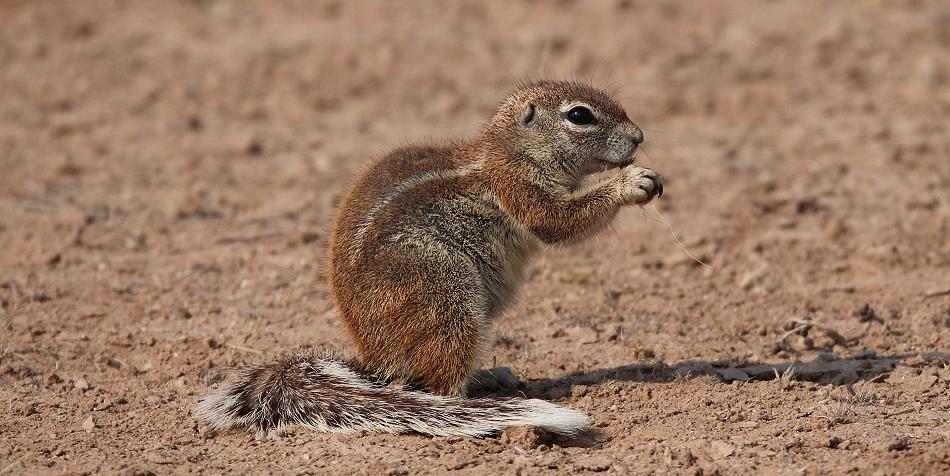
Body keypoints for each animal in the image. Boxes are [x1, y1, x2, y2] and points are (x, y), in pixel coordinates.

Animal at [197, 80, 664, 436]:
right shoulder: (517, 185)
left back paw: (490, 375)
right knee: (435, 383)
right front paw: (631, 183)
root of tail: (375, 362)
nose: (640, 136)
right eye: (580, 115)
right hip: (443, 291)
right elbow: (558, 222)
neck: (506, 150)